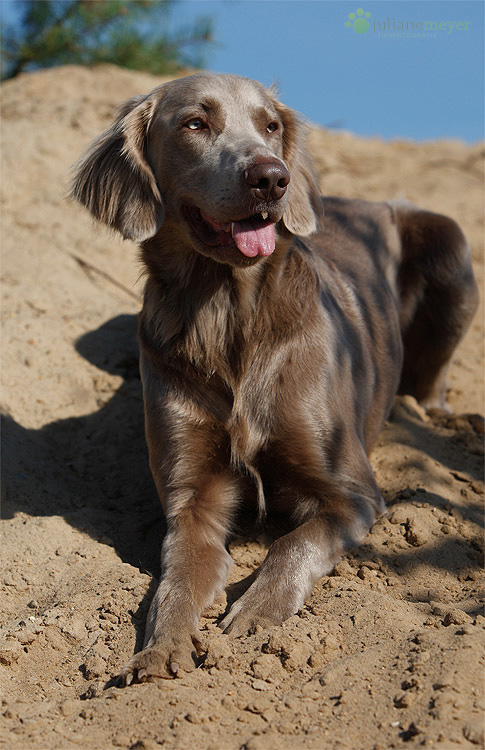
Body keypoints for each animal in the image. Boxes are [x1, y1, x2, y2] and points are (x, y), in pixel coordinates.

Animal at [71, 73, 476, 684]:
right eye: (195, 123)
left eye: (270, 126)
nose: (271, 177)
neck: (227, 313)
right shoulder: (192, 501)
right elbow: (175, 580)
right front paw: (160, 650)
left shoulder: (351, 492)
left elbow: (294, 544)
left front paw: (254, 615)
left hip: (450, 243)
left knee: (433, 385)